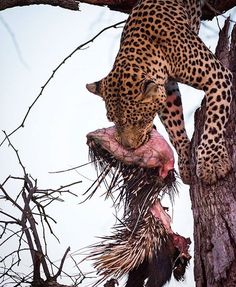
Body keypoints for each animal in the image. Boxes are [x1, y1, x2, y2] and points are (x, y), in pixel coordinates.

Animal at [86, 0, 232, 184]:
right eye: (113, 121)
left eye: (139, 121)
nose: (129, 148)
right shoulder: (167, 90)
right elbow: (174, 127)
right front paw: (185, 161)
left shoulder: (217, 76)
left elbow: (214, 120)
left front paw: (211, 162)